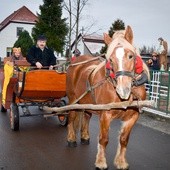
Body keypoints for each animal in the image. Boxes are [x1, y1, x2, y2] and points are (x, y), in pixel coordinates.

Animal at [66, 25, 149, 170]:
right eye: (110, 60)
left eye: (131, 56)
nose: (123, 90)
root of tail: (75, 62)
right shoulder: (106, 114)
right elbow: (103, 139)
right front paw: (101, 163)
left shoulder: (133, 116)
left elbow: (124, 139)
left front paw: (121, 162)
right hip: (72, 100)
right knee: (71, 118)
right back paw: (71, 139)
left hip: (88, 104)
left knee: (86, 117)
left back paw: (85, 137)